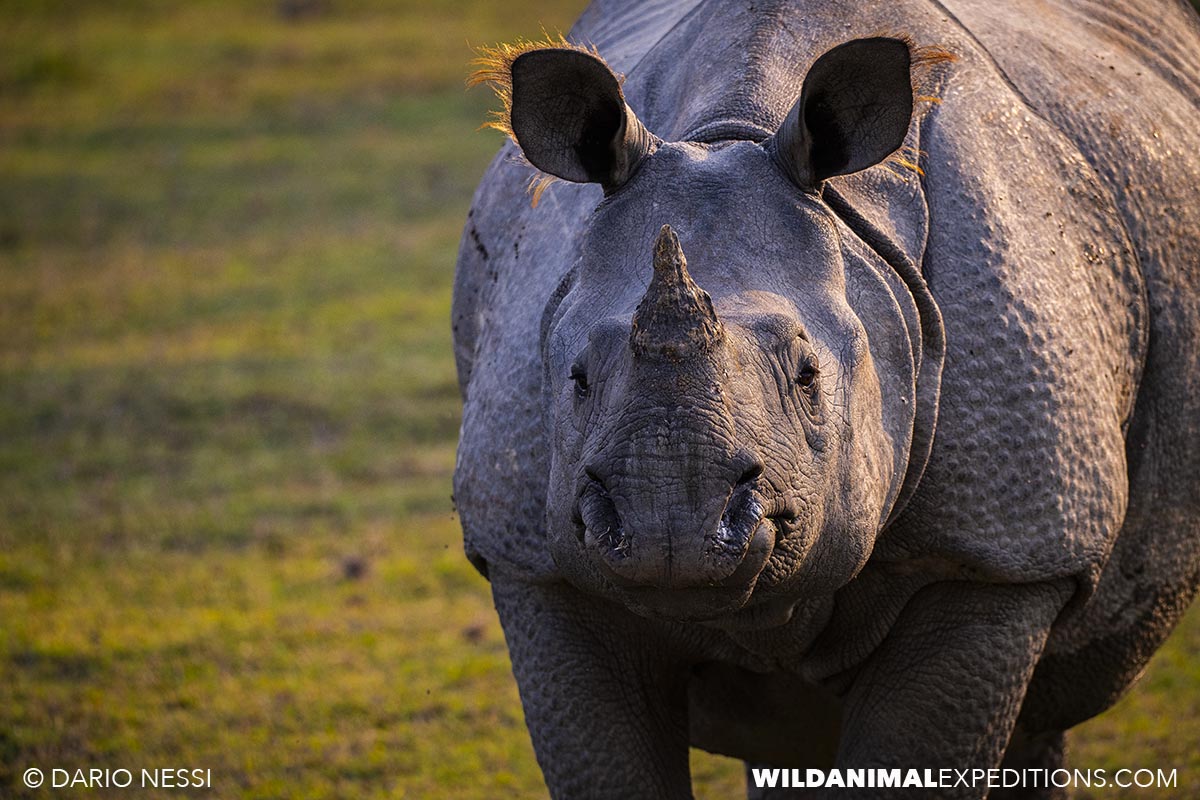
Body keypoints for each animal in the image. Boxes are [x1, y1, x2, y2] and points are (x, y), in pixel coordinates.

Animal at [451, 0, 1200, 797]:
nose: (670, 530)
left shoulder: (1001, 556)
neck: (730, 131)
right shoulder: (533, 564)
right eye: (578, 380)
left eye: (809, 376)